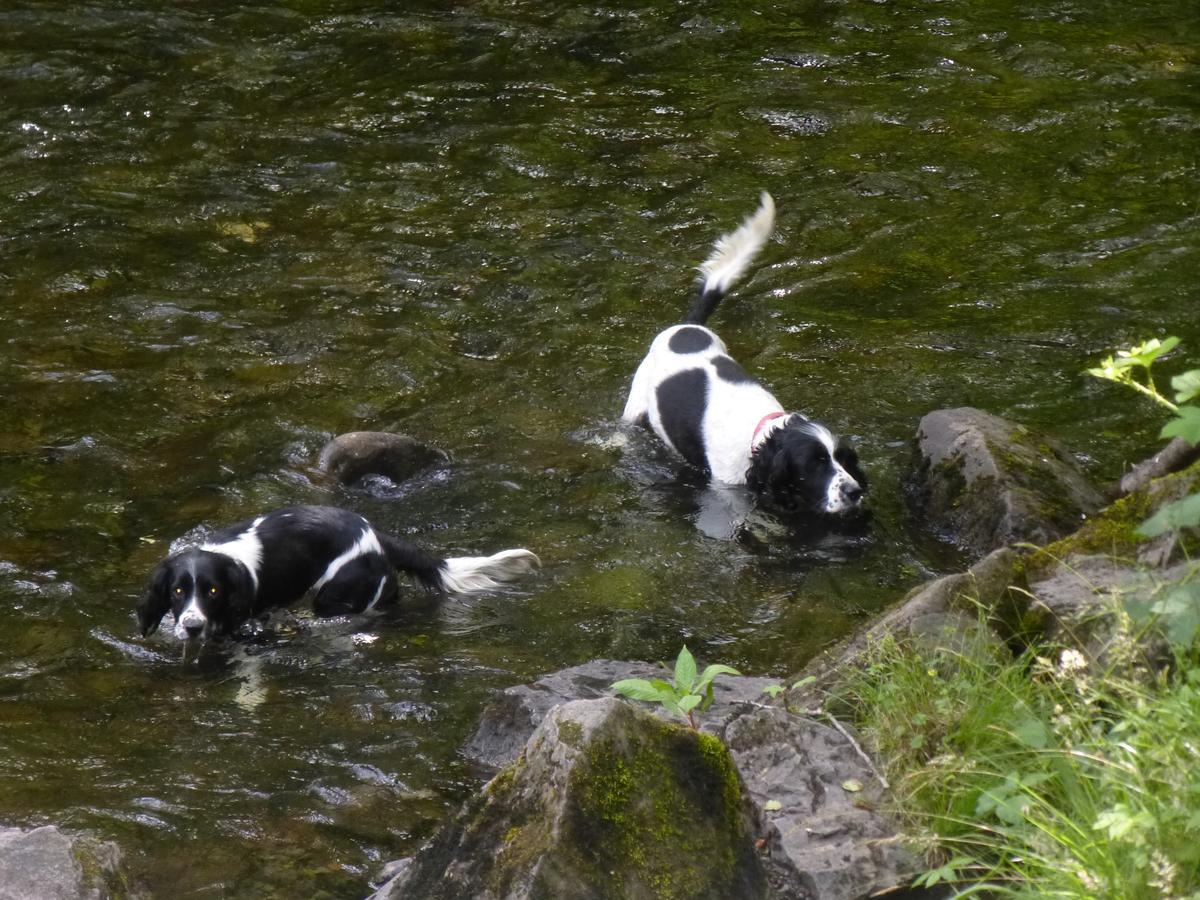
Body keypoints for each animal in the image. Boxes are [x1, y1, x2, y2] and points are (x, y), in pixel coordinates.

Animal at [624, 194, 868, 513]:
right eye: (815, 463)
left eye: (842, 459)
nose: (855, 491)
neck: (761, 431)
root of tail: (688, 325)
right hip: (634, 407)